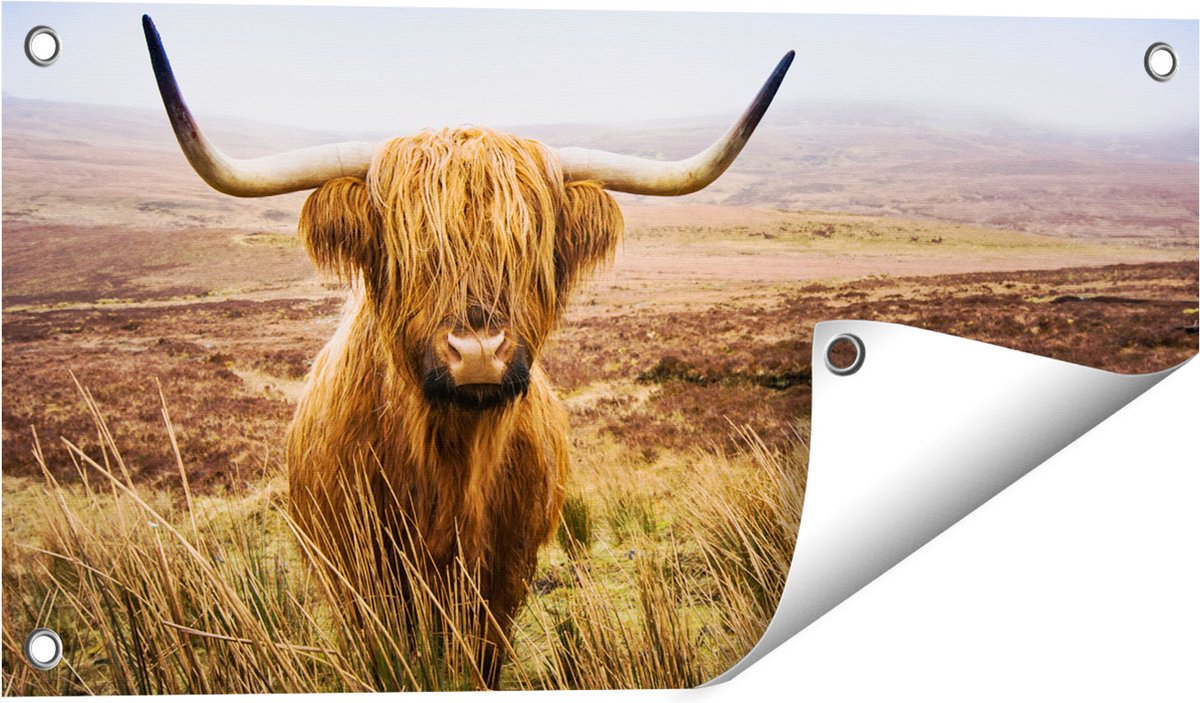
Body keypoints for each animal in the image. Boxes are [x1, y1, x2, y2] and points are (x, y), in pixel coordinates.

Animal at [142, 15, 791, 689]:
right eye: (409, 247)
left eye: (529, 245)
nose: (477, 351)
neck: (449, 467)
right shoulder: (360, 577)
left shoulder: (504, 578)